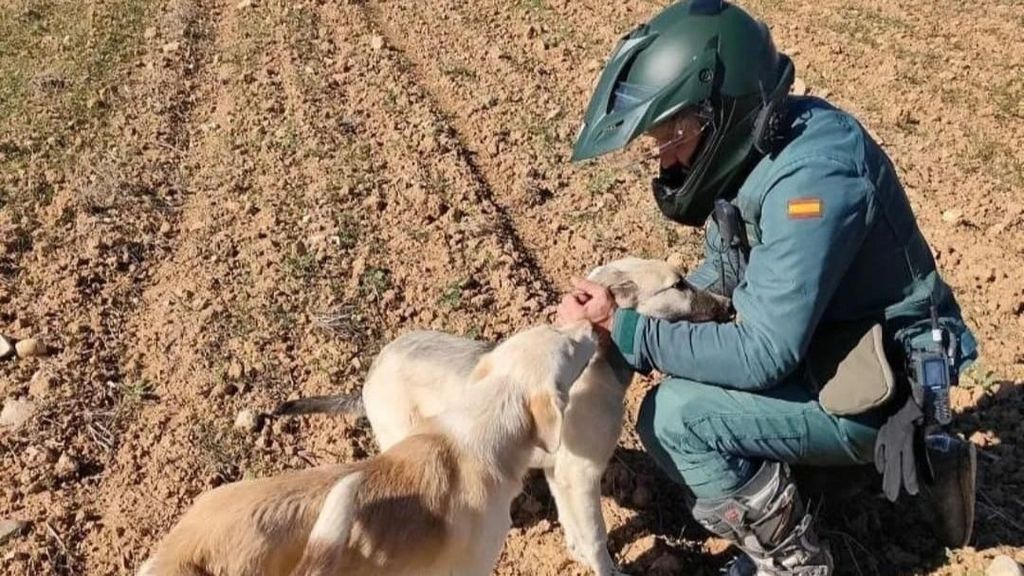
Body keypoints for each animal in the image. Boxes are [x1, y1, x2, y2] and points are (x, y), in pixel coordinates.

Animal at [140, 323, 598, 573]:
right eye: (570, 348)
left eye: (556, 329)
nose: (592, 328)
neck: (483, 423)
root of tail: (177, 553)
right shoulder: (471, 566)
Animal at [276, 256, 733, 573]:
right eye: (679, 284)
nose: (730, 305)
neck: (599, 365)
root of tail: (369, 376)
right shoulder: (581, 473)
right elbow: (596, 537)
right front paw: (607, 569)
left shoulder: (561, 474)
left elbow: (575, 528)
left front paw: (576, 555)